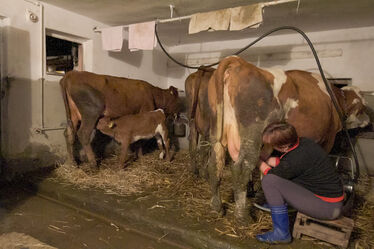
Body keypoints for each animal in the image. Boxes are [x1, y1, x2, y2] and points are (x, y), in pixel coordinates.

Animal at [206, 56, 370, 222]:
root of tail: (239, 63)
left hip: (217, 131)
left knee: (214, 164)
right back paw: (242, 217)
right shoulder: (328, 139)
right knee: (240, 168)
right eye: (363, 108)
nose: (369, 121)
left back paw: (217, 207)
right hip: (252, 135)